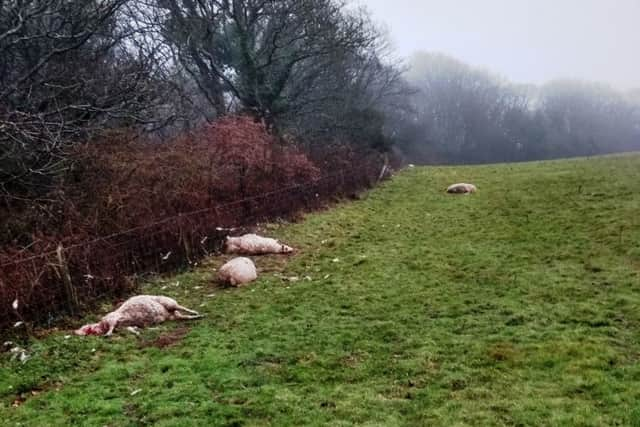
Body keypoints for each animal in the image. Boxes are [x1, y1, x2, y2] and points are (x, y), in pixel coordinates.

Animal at [74, 296, 202, 336]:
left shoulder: (113, 318)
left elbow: (112, 327)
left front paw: (108, 334)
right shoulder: (123, 326)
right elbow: (130, 329)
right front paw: (137, 332)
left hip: (169, 303)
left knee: (182, 307)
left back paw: (195, 312)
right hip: (174, 315)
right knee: (184, 317)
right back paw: (198, 316)